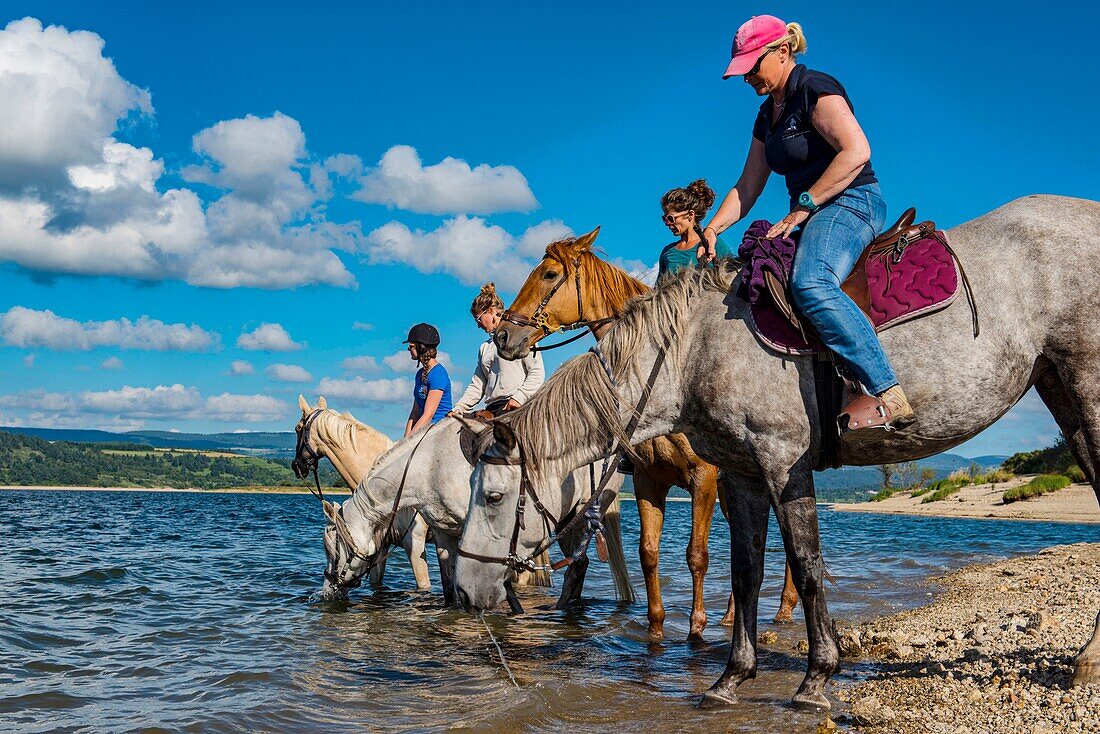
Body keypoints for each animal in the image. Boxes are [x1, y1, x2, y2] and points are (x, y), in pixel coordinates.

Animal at [495, 227, 796, 638]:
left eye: (550, 274)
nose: (502, 336)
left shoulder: (702, 478)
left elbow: (696, 555)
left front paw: (696, 628)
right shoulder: (647, 479)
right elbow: (649, 553)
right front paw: (656, 629)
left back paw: (784, 608)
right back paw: (732, 615)